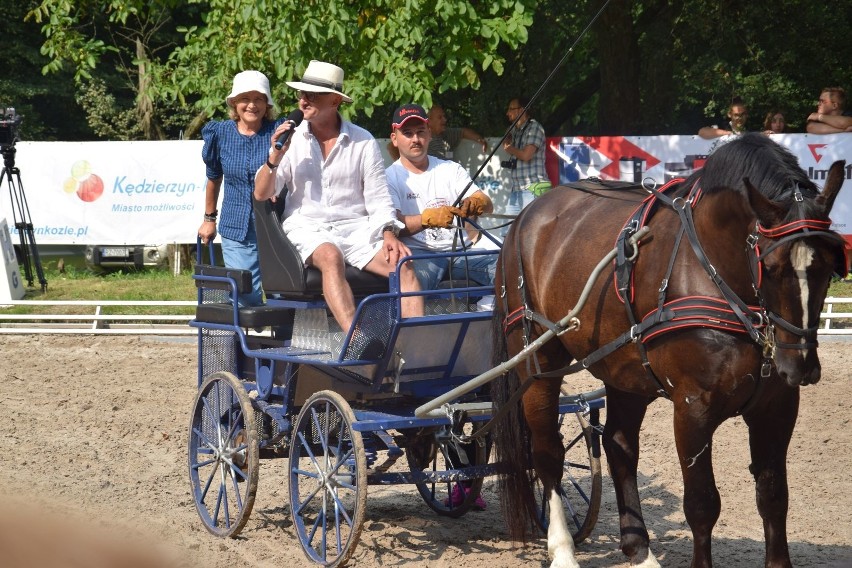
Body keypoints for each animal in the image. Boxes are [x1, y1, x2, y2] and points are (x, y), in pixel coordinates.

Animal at [490, 134, 848, 568]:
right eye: (773, 266)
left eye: (828, 266)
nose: (800, 366)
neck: (715, 269)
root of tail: (527, 215)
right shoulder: (693, 407)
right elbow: (702, 504)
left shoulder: (777, 406)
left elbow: (774, 496)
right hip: (537, 361)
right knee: (547, 452)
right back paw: (562, 548)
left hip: (624, 370)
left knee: (619, 446)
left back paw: (639, 550)